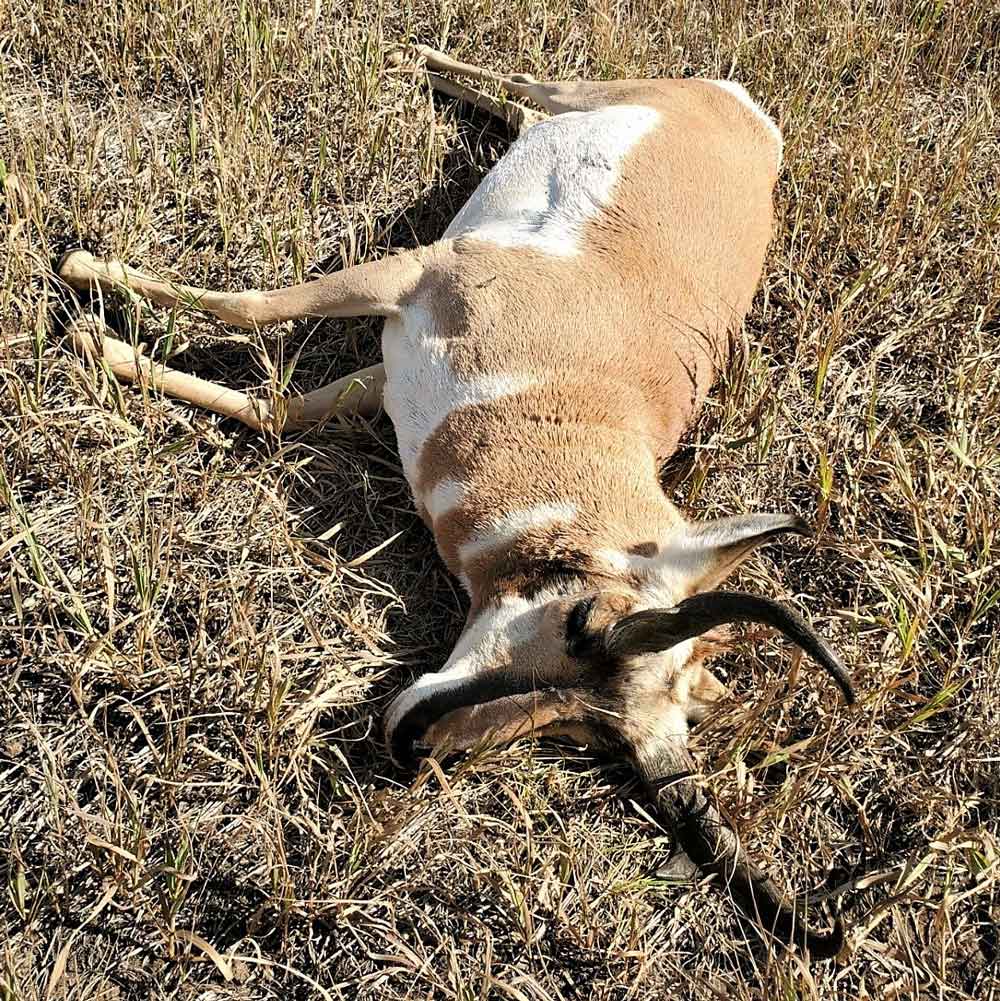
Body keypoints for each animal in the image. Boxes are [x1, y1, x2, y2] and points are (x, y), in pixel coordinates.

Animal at [58, 44, 856, 958]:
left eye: (586, 733)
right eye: (583, 620)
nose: (412, 745)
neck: (568, 399)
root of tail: (753, 120)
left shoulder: (382, 378)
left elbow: (269, 410)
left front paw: (101, 342)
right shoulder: (412, 275)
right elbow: (248, 305)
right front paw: (81, 284)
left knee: (524, 109)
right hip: (591, 95)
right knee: (529, 87)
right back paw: (424, 61)